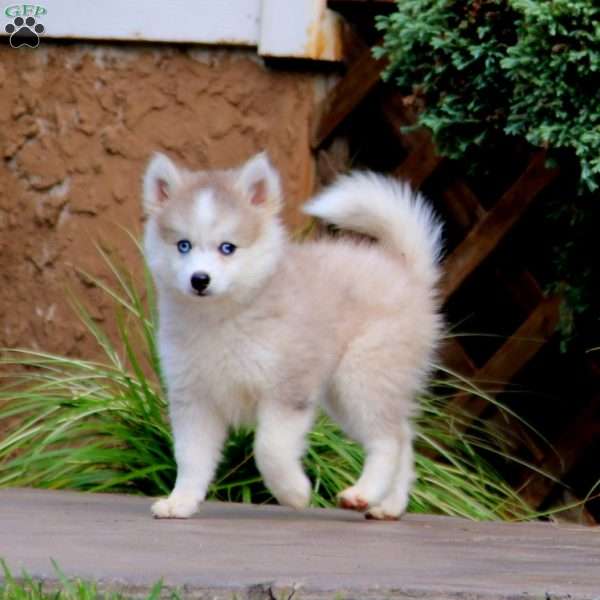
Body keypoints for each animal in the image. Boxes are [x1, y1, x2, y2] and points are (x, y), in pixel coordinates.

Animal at [141, 151, 440, 520]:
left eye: (228, 248)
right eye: (183, 245)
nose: (200, 279)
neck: (221, 319)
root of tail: (405, 270)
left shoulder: (286, 391)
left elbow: (268, 448)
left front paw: (294, 493)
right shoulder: (194, 398)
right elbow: (190, 458)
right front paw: (180, 502)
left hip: (362, 377)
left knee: (388, 441)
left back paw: (363, 493)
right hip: (345, 395)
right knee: (403, 436)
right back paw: (389, 505)